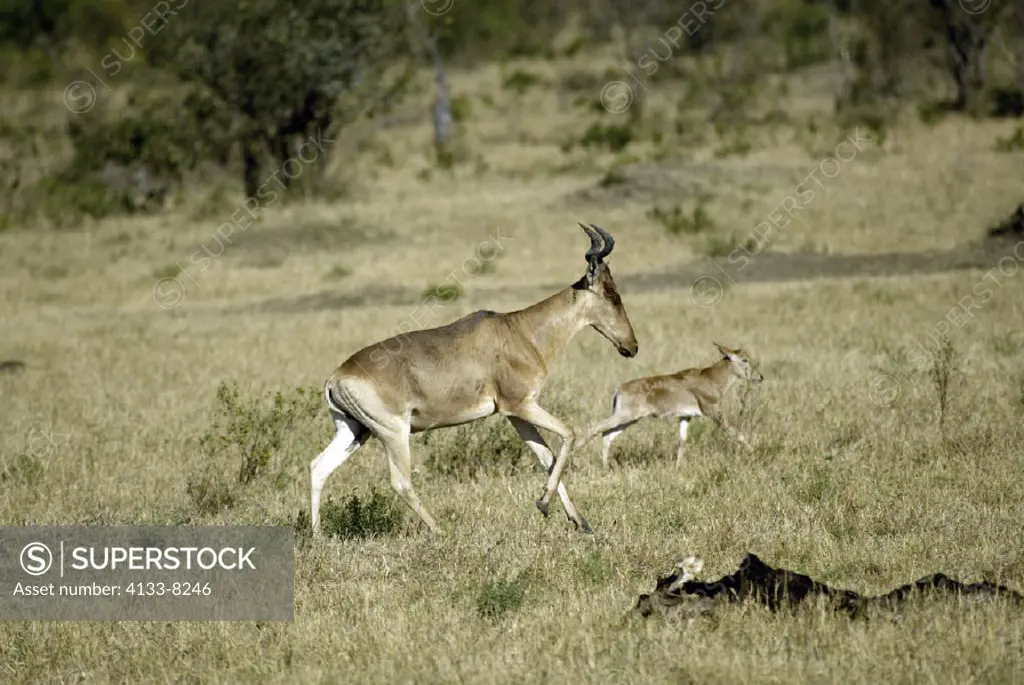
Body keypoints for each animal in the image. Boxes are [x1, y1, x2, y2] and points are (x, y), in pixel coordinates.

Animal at [307, 223, 634, 532]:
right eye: (612, 295)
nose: (631, 346)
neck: (520, 331)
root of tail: (336, 377)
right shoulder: (520, 405)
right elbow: (569, 432)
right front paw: (546, 504)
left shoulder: (515, 414)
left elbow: (546, 457)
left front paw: (576, 520)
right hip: (393, 431)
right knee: (400, 482)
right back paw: (440, 531)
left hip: (354, 429)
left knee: (318, 467)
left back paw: (318, 535)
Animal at [585, 339, 761, 466]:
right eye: (744, 360)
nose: (760, 376)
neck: (711, 378)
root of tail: (619, 389)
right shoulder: (714, 413)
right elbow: (737, 433)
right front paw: (754, 452)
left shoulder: (685, 417)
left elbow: (681, 442)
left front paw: (678, 467)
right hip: (624, 416)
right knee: (595, 428)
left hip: (630, 419)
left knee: (607, 435)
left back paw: (605, 467)